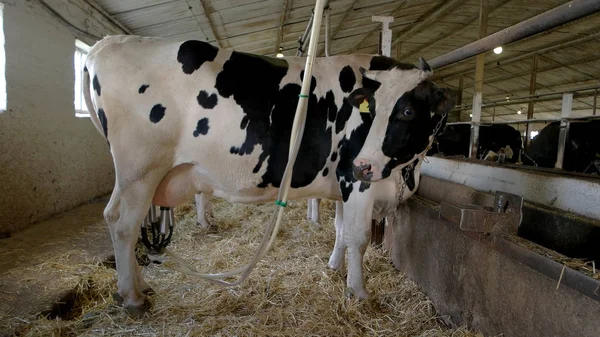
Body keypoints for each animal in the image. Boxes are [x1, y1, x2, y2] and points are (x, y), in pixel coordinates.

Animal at [83, 35, 454, 314]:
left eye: (408, 110)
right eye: (373, 109)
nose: (365, 164)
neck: (403, 171)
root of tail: (107, 42)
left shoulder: (342, 182)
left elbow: (339, 230)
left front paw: (334, 267)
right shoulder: (355, 179)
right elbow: (358, 237)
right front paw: (359, 292)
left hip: (137, 177)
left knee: (118, 220)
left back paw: (141, 285)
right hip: (140, 170)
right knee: (123, 225)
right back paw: (133, 298)